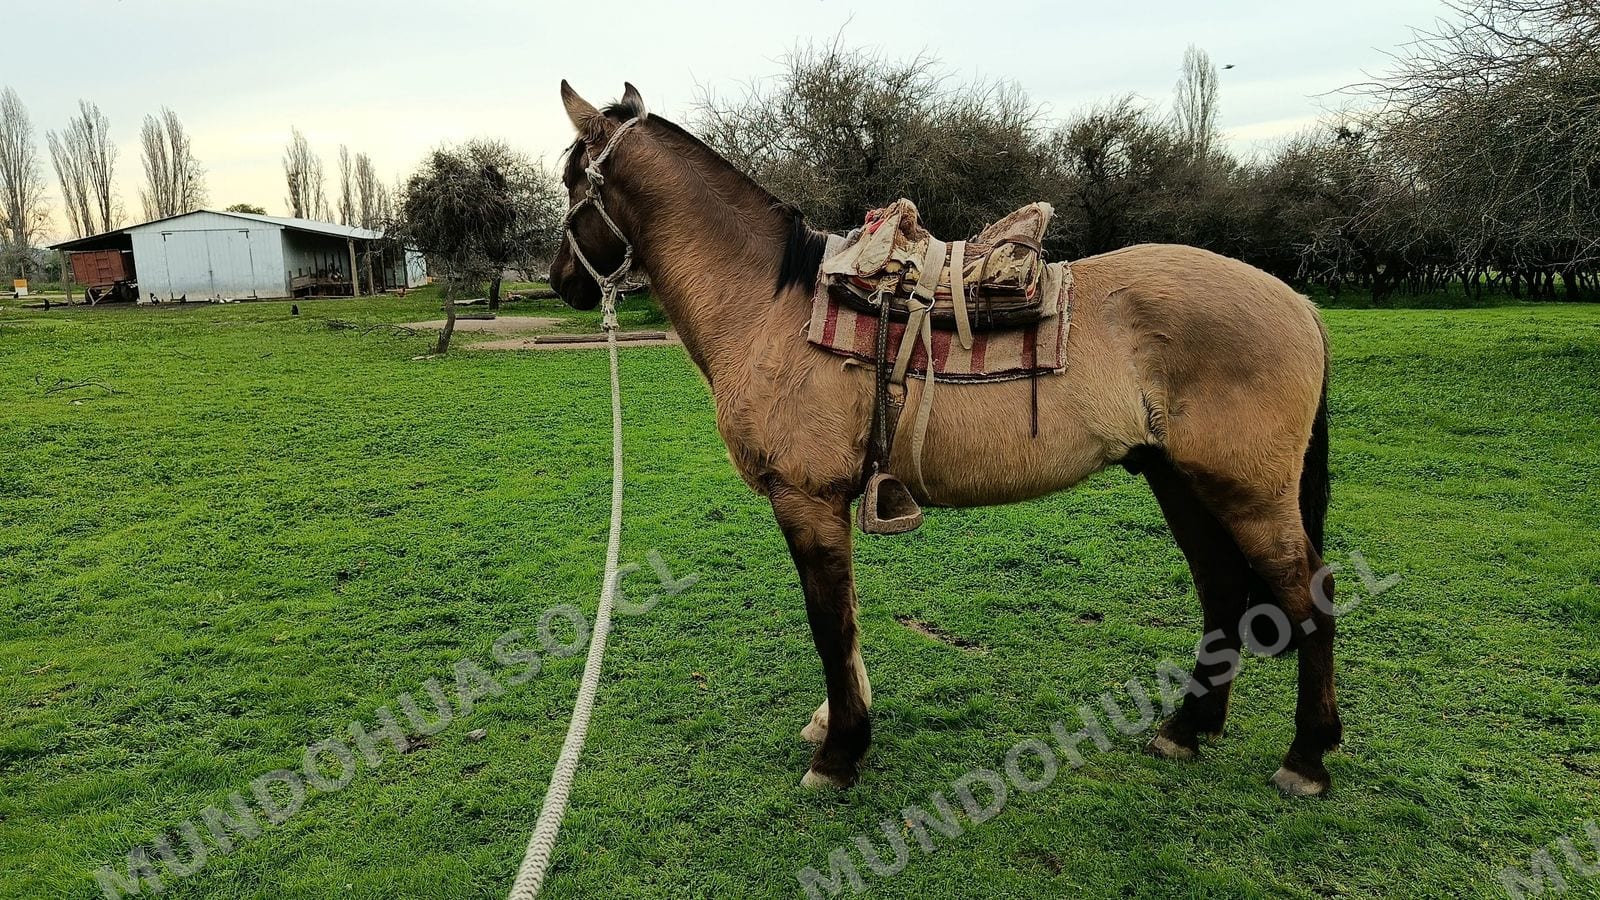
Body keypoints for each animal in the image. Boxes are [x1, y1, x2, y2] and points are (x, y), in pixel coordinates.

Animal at [549, 82, 1341, 797]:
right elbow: (847, 619)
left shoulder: (806, 499)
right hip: (1181, 480)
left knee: (1308, 597)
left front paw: (839, 754)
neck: (770, 306)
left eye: (569, 183)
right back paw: (1186, 729)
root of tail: (1297, 301)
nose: (563, 284)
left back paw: (1306, 758)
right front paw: (838, 726)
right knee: (1222, 591)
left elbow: (828, 620)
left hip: (1248, 492)